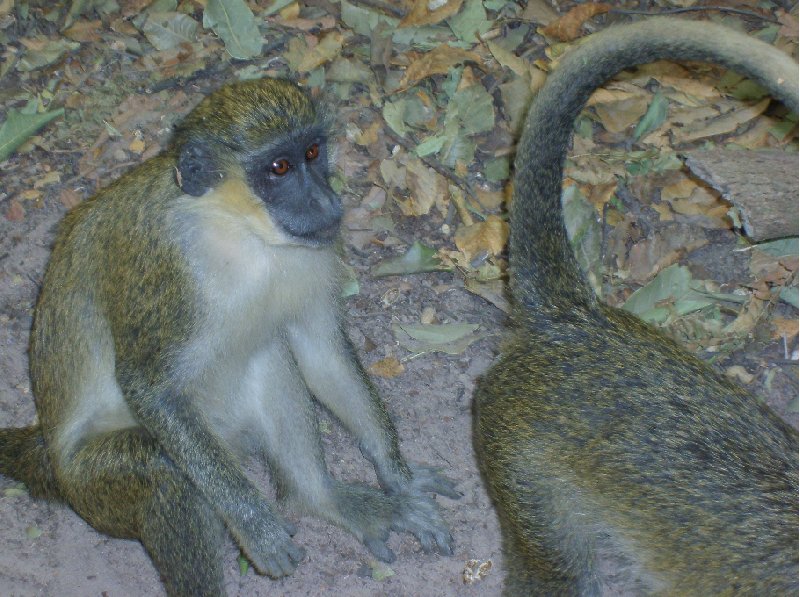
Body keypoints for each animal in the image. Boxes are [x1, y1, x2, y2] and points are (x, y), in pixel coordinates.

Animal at [0, 79, 456, 596]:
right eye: (279, 168)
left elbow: (321, 351)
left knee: (267, 351)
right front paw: (255, 526)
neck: (238, 230)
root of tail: (51, 462)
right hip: (93, 487)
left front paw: (398, 477)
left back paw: (320, 499)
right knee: (163, 471)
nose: (325, 201)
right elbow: (149, 387)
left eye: (312, 152)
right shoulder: (168, 268)